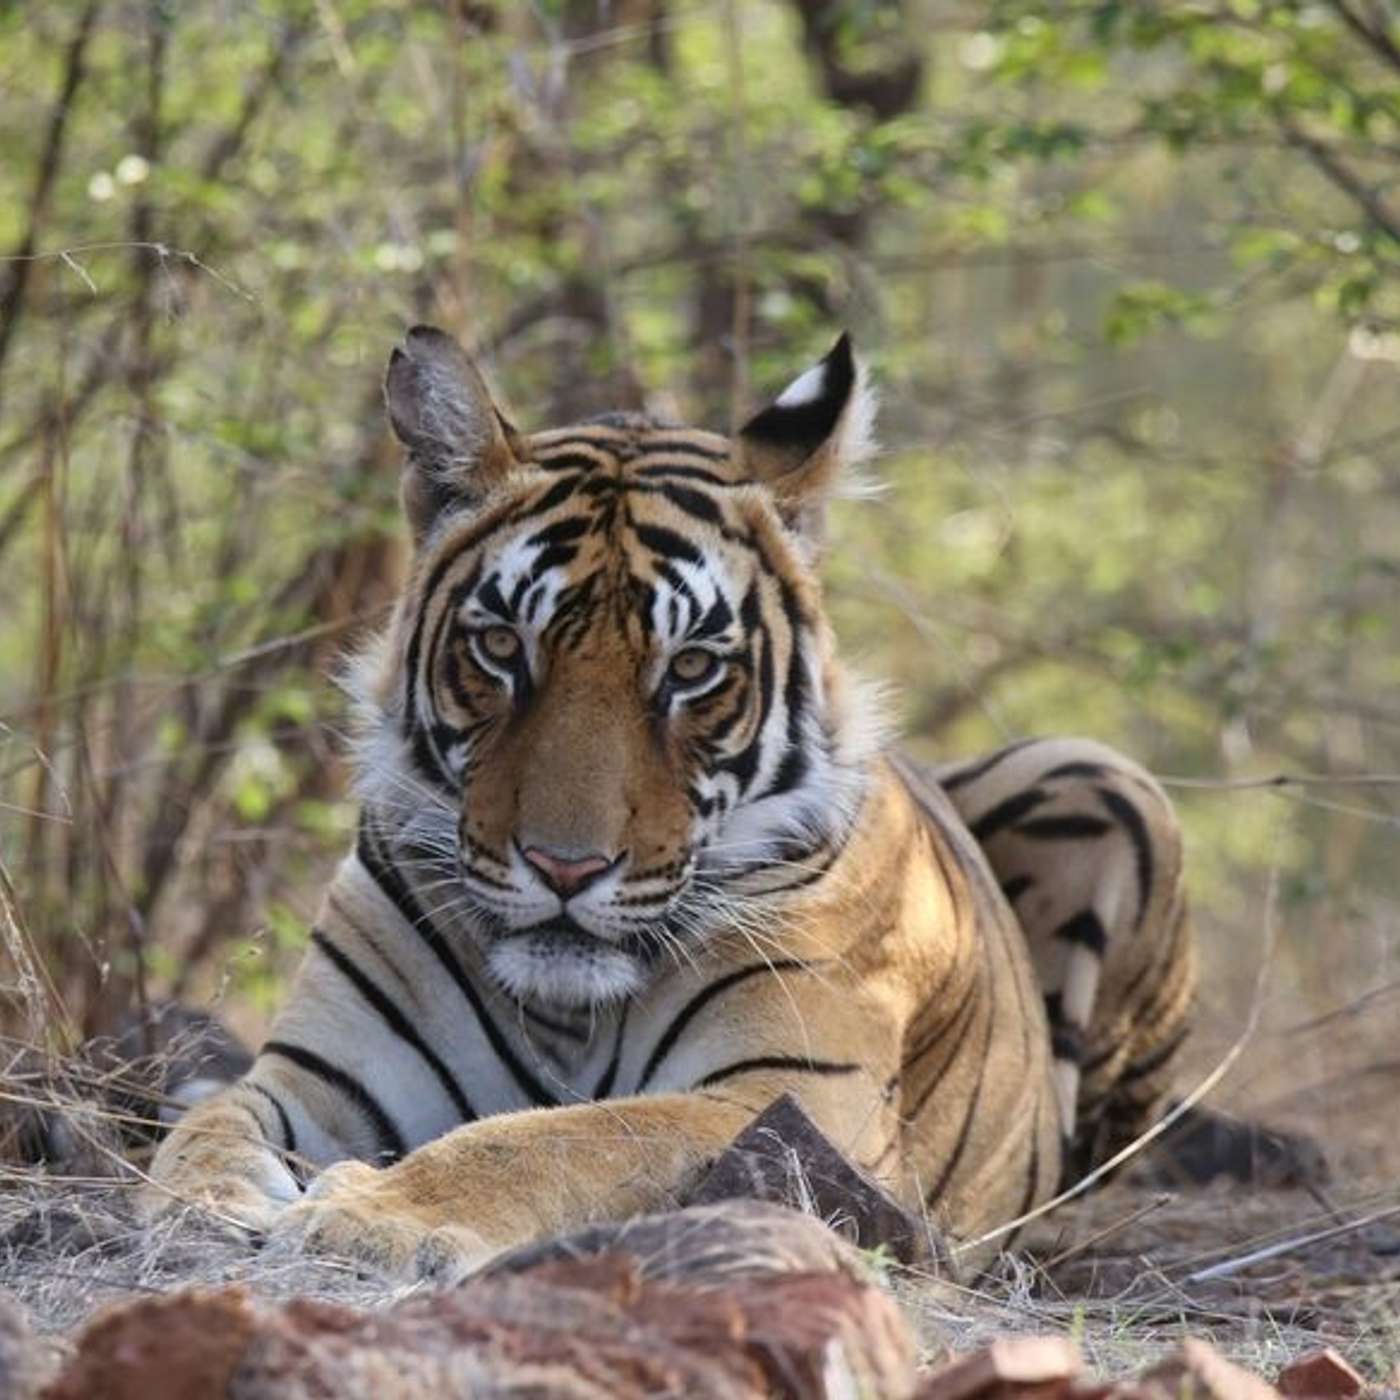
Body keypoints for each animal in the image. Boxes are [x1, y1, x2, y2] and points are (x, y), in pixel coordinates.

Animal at [141, 325, 1196, 1280]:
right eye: (502, 647)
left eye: (690, 669)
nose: (565, 868)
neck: (565, 1011)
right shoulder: (318, 1071)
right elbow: (211, 1121)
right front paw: (208, 1199)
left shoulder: (782, 1095)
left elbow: (559, 1138)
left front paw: (371, 1216)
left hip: (1103, 775)